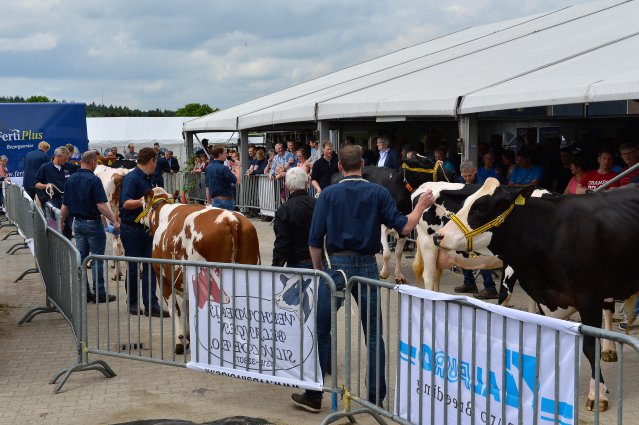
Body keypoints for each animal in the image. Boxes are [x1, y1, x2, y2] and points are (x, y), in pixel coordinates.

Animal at [139, 187, 262, 352]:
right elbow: (187, 306)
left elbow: (175, 309)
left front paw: (179, 341)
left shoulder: (163, 277)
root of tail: (231, 219)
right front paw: (188, 336)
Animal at [436, 178, 639, 410]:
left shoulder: (589, 296)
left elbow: (589, 346)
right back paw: (610, 350)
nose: (439, 236)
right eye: (466, 202)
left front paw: (597, 395)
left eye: (480, 207)